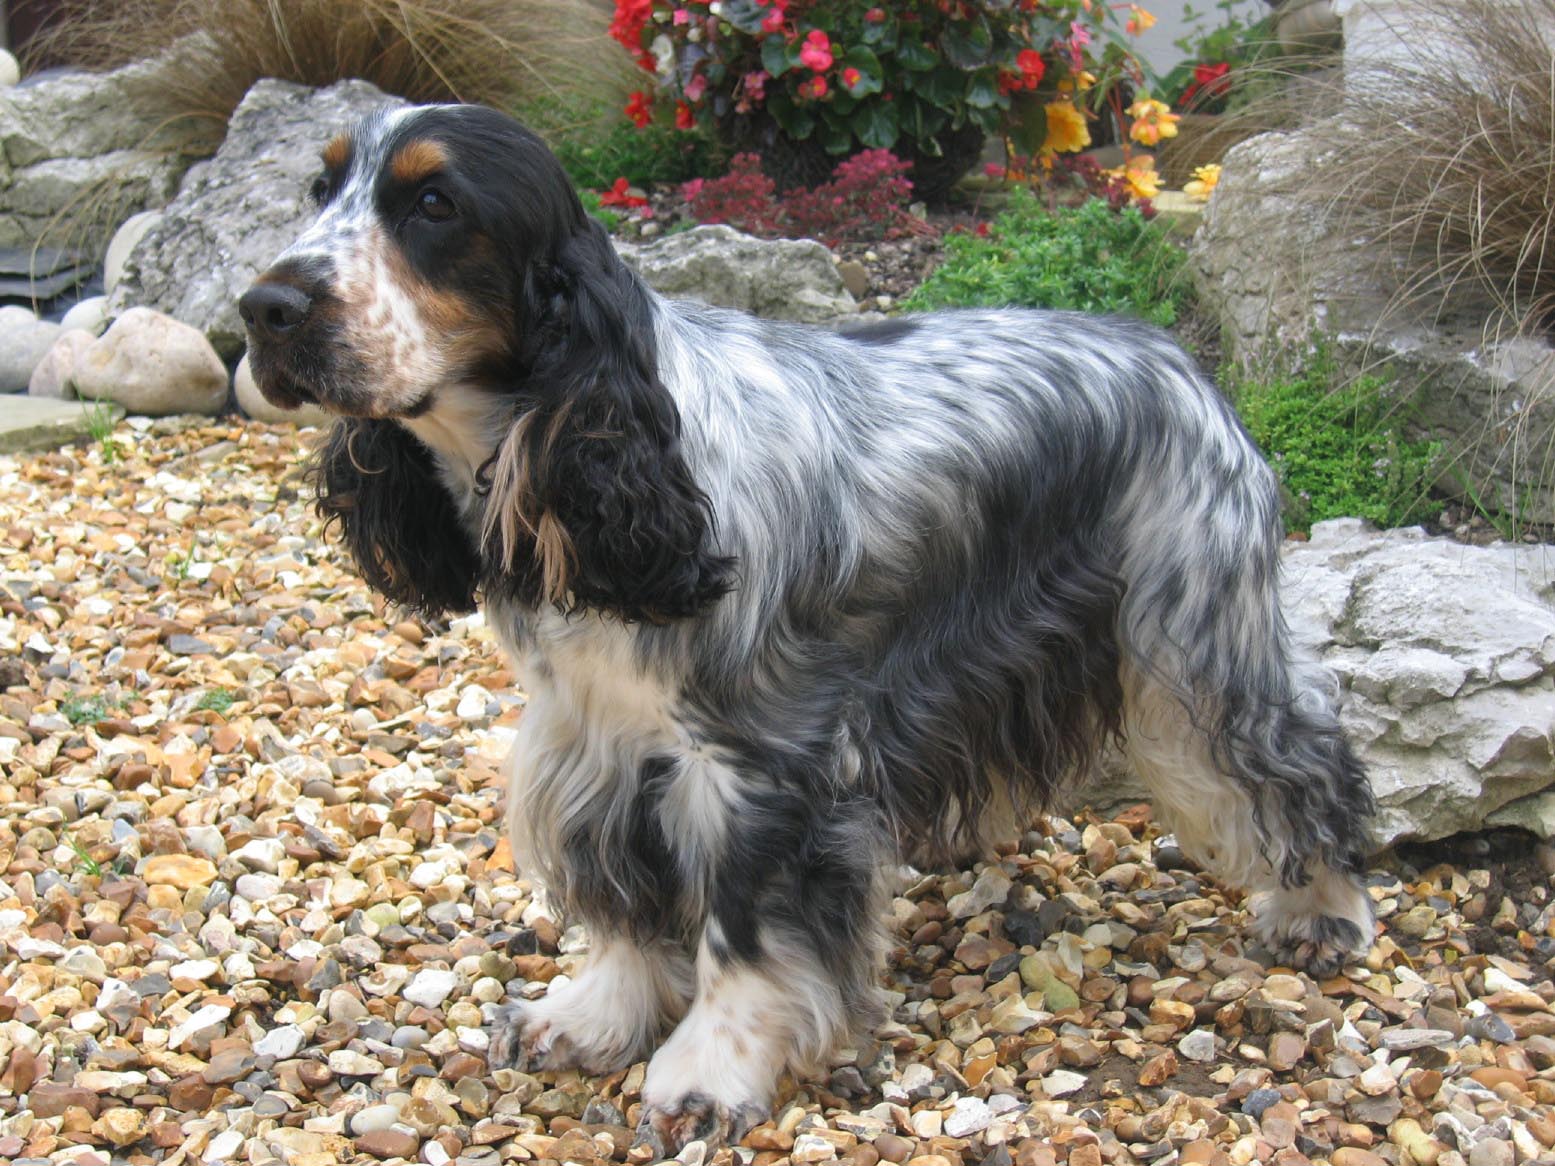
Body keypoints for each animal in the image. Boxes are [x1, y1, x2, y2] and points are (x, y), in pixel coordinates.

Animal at [239, 104, 1374, 1156]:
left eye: (435, 204)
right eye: (319, 188)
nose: (263, 308)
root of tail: (1171, 350)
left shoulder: (761, 762)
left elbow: (743, 931)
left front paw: (709, 1069)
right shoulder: (592, 740)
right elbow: (621, 902)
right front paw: (595, 1014)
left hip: (1192, 631)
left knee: (1299, 757)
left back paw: (1322, 908)